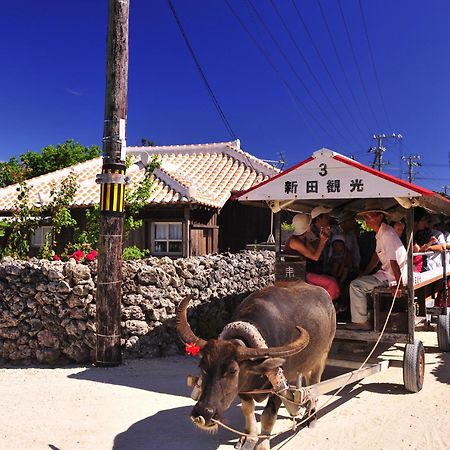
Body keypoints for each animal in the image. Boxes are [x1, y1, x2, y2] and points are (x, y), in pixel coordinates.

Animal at [178, 282, 336, 450]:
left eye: (233, 370)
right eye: (202, 366)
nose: (203, 413)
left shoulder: (279, 387)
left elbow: (268, 416)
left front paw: (262, 444)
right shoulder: (243, 388)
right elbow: (247, 408)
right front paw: (249, 437)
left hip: (322, 357)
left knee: (315, 387)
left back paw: (311, 417)